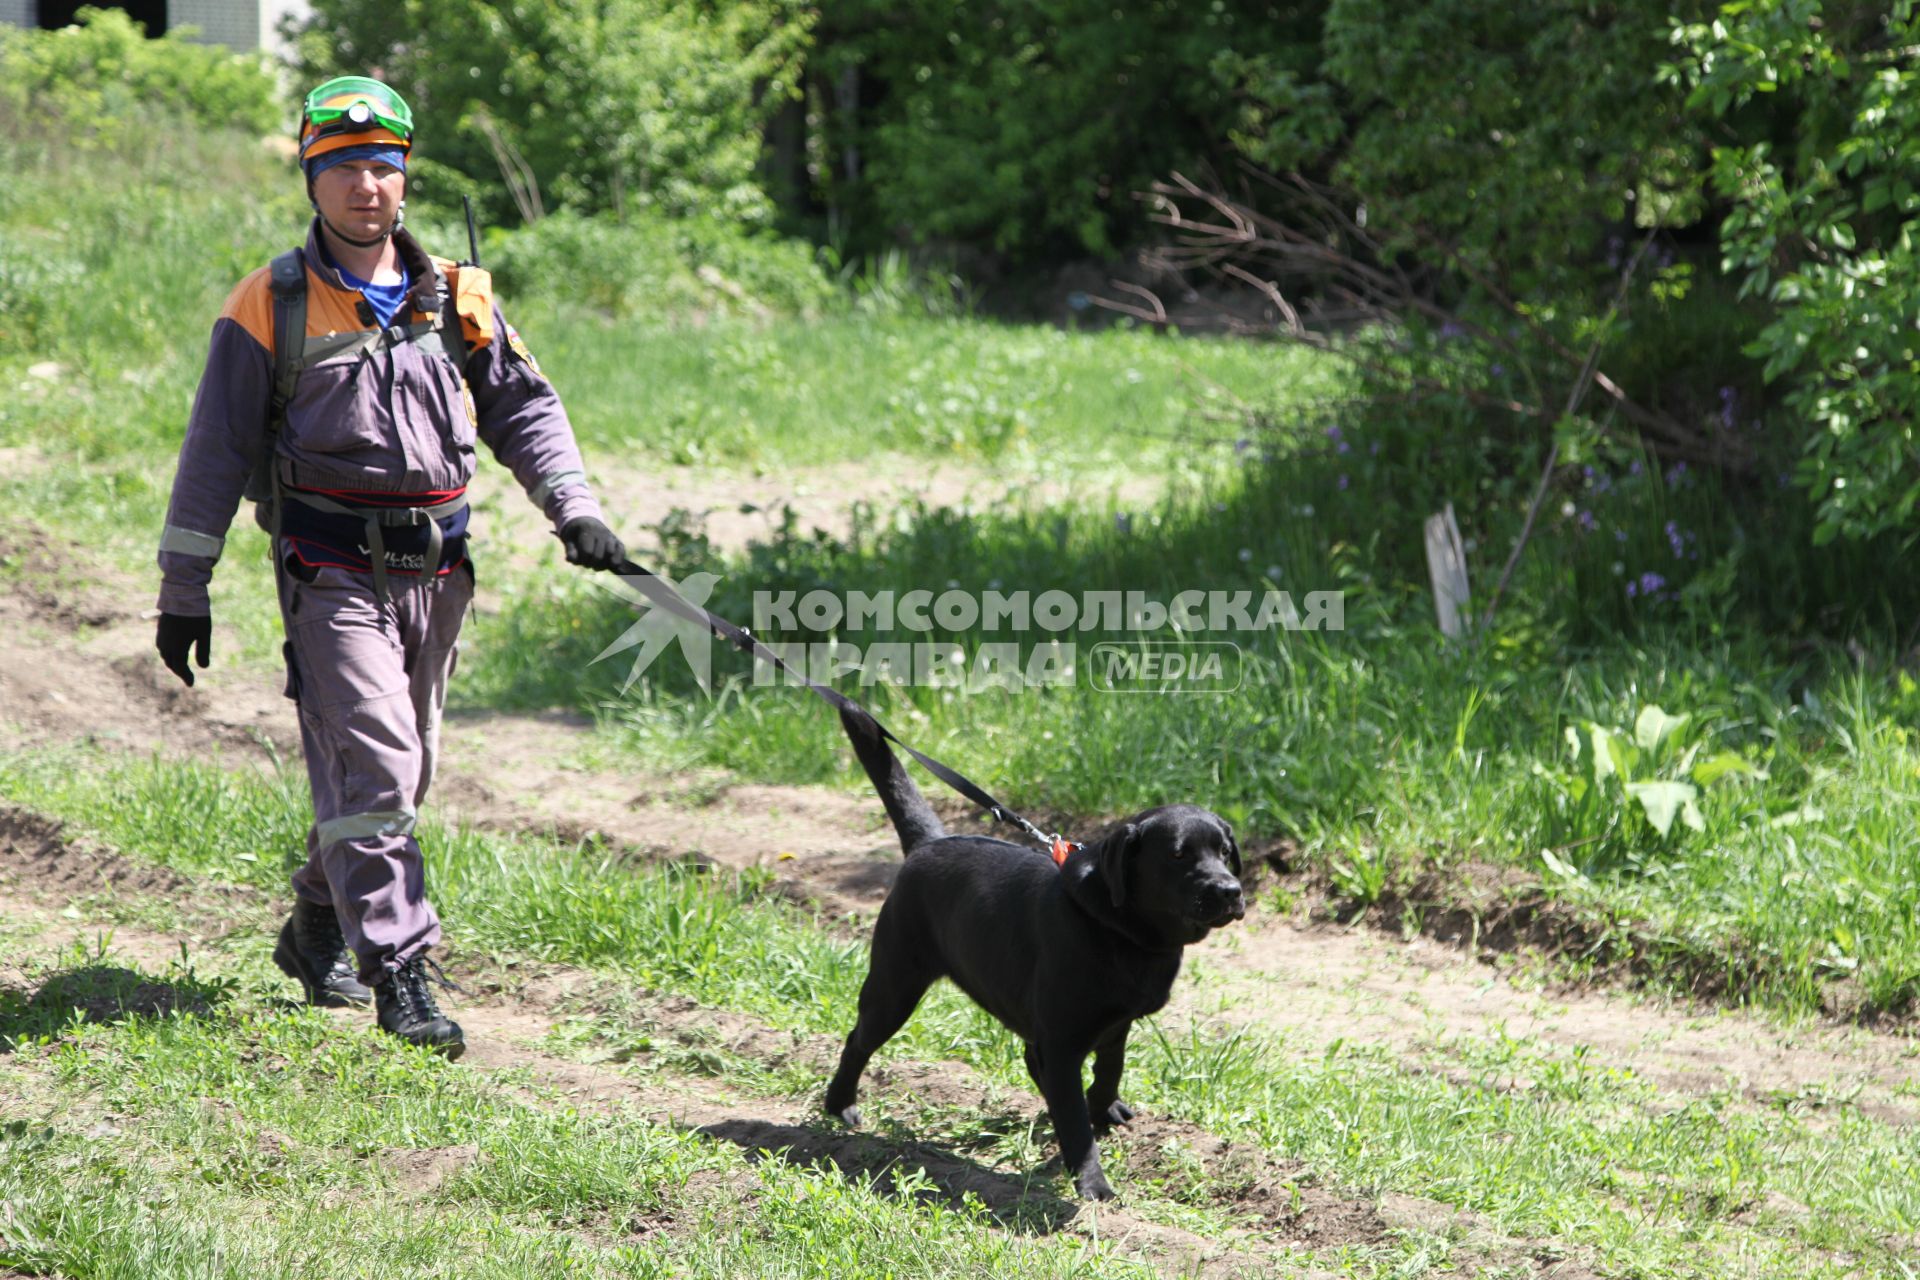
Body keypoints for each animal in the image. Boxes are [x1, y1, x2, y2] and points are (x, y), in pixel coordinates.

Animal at [821, 710, 1244, 1205]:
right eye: (1178, 855)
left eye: (1224, 852)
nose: (1231, 891)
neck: (1121, 931)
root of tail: (928, 843)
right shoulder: (1061, 1041)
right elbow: (1075, 1122)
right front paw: (1093, 1183)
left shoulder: (1112, 1025)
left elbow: (1107, 1073)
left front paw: (1103, 1111)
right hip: (895, 984)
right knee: (858, 1040)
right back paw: (840, 1105)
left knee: (1030, 1057)